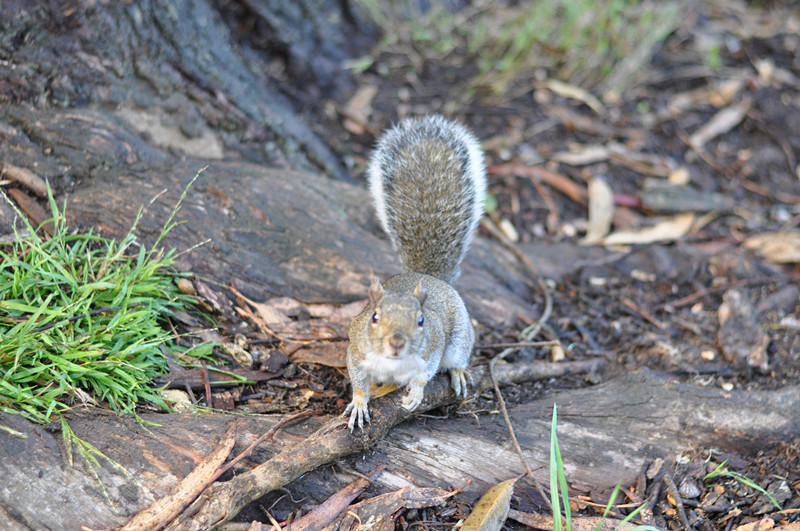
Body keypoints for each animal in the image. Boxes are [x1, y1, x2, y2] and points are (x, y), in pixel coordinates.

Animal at [344, 115, 488, 432]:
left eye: (421, 320)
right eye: (374, 317)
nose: (397, 342)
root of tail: (429, 277)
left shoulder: (431, 350)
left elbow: (425, 375)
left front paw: (416, 394)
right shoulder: (357, 351)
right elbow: (358, 381)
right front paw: (360, 403)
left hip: (459, 339)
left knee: (457, 358)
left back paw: (457, 373)